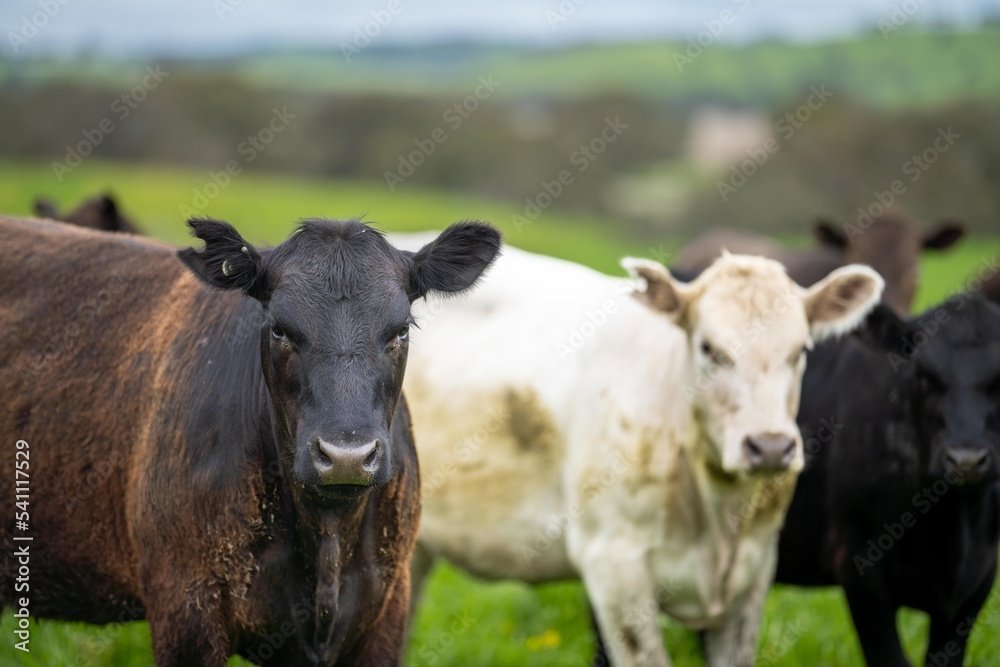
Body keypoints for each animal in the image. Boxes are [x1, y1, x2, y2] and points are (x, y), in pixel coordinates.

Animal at [0, 217, 500, 664]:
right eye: (279, 328)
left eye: (400, 330)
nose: (346, 457)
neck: (327, 539)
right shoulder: (185, 607)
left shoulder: (387, 614)